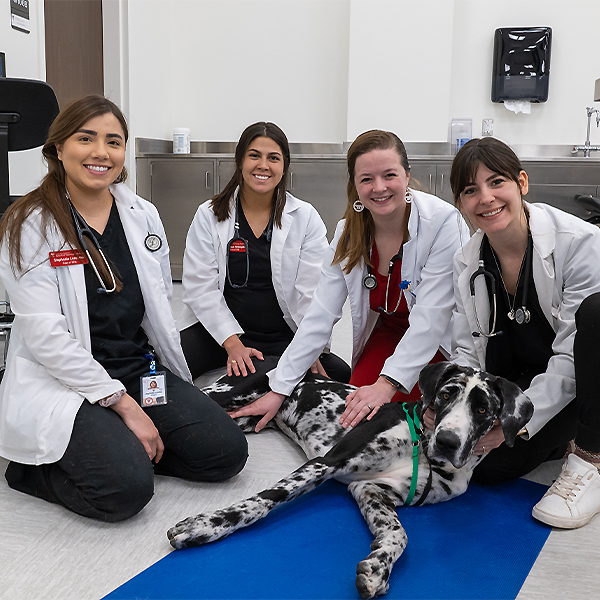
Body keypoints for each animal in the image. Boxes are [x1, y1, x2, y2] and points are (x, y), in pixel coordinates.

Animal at [166, 358, 532, 596]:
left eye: (483, 409)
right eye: (445, 395)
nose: (447, 441)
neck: (422, 447)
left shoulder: (370, 489)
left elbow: (399, 534)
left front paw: (379, 567)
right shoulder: (329, 462)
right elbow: (264, 500)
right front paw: (206, 526)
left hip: (246, 419)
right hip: (224, 397)